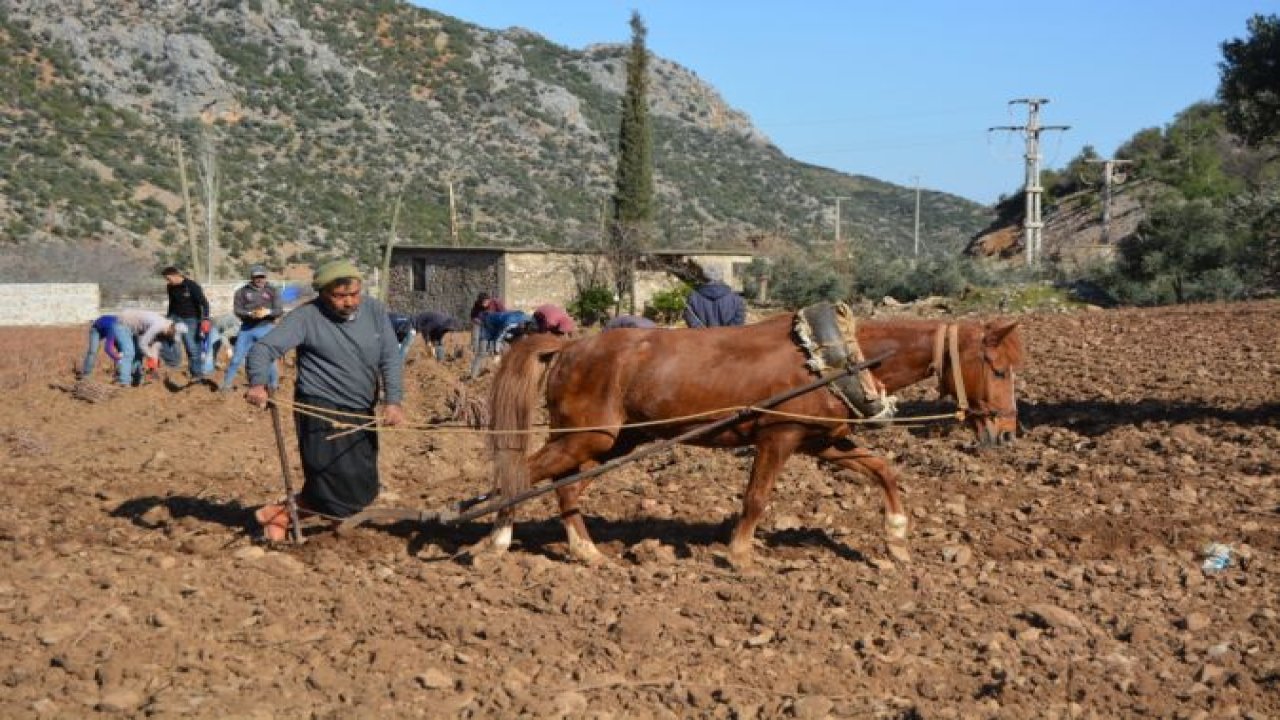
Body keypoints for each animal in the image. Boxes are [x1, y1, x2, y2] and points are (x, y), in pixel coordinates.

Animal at [483, 311, 1024, 563]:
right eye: (997, 368)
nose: (1005, 432)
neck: (834, 358)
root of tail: (568, 347)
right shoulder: (778, 435)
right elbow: (757, 498)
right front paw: (740, 554)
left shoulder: (822, 442)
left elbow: (883, 470)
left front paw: (896, 538)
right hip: (585, 439)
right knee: (521, 475)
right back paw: (497, 539)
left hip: (611, 444)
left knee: (566, 490)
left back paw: (587, 551)